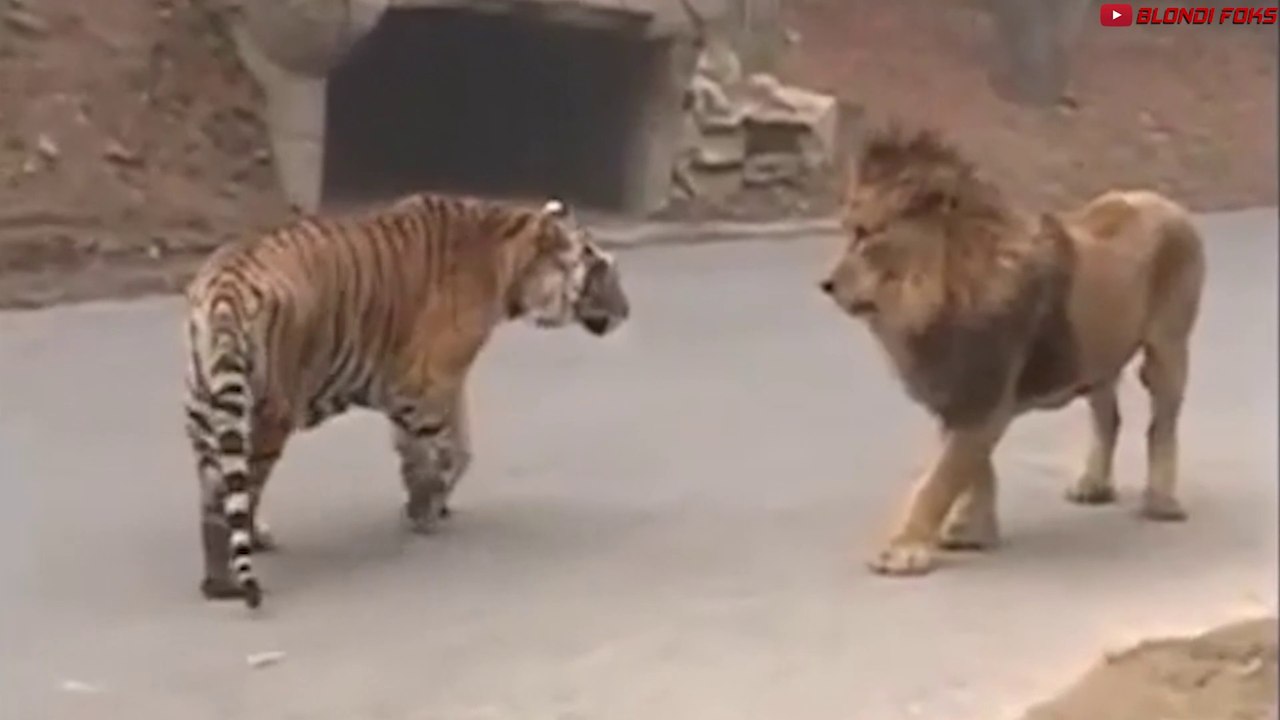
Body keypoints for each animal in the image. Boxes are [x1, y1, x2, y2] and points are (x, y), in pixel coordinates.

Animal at [182, 193, 630, 609]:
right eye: (600, 271)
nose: (627, 312)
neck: (509, 261)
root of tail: (225, 287)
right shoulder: (428, 385)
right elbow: (440, 454)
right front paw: (426, 510)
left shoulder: (429, 386)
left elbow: (452, 449)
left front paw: (426, 506)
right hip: (270, 412)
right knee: (240, 490)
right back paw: (240, 565)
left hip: (206, 412)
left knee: (215, 496)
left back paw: (218, 582)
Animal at [818, 126, 1206, 576]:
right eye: (849, 231)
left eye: (867, 234)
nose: (826, 284)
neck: (932, 298)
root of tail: (1165, 201)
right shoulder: (956, 396)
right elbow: (975, 472)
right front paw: (972, 531)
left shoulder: (983, 399)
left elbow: (939, 481)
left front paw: (904, 549)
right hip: (1095, 360)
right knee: (1108, 418)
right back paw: (1093, 486)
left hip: (1168, 349)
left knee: (1161, 426)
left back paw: (1161, 503)